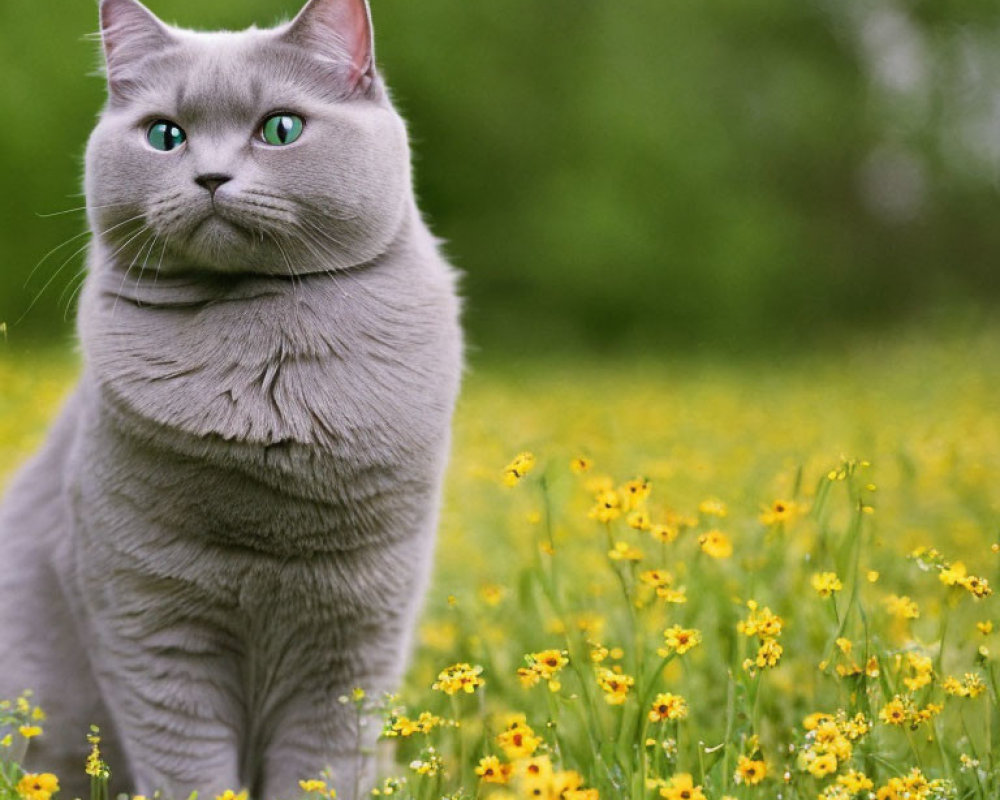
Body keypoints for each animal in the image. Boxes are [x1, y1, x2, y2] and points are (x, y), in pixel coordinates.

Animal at [0, 0, 460, 796]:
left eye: (280, 129)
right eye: (164, 135)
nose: (210, 176)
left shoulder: (360, 630)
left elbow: (324, 767)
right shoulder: (145, 619)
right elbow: (187, 764)